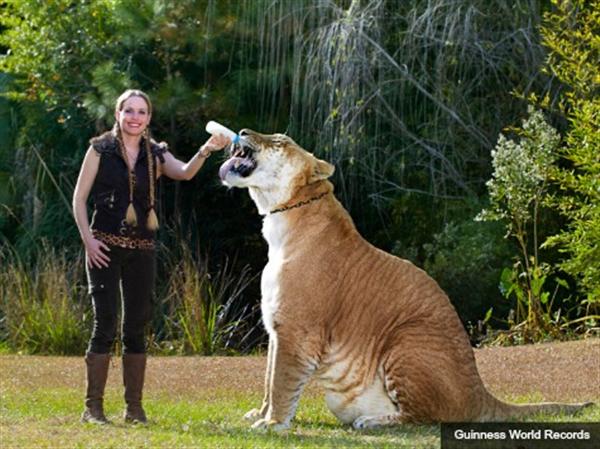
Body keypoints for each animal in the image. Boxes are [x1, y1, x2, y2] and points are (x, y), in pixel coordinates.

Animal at [218, 130, 592, 430]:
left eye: (280, 141)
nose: (243, 132)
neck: (281, 219)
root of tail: (480, 393)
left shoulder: (298, 330)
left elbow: (282, 381)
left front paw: (272, 424)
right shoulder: (276, 328)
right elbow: (269, 378)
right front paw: (260, 414)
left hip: (404, 343)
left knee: (426, 416)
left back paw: (372, 421)